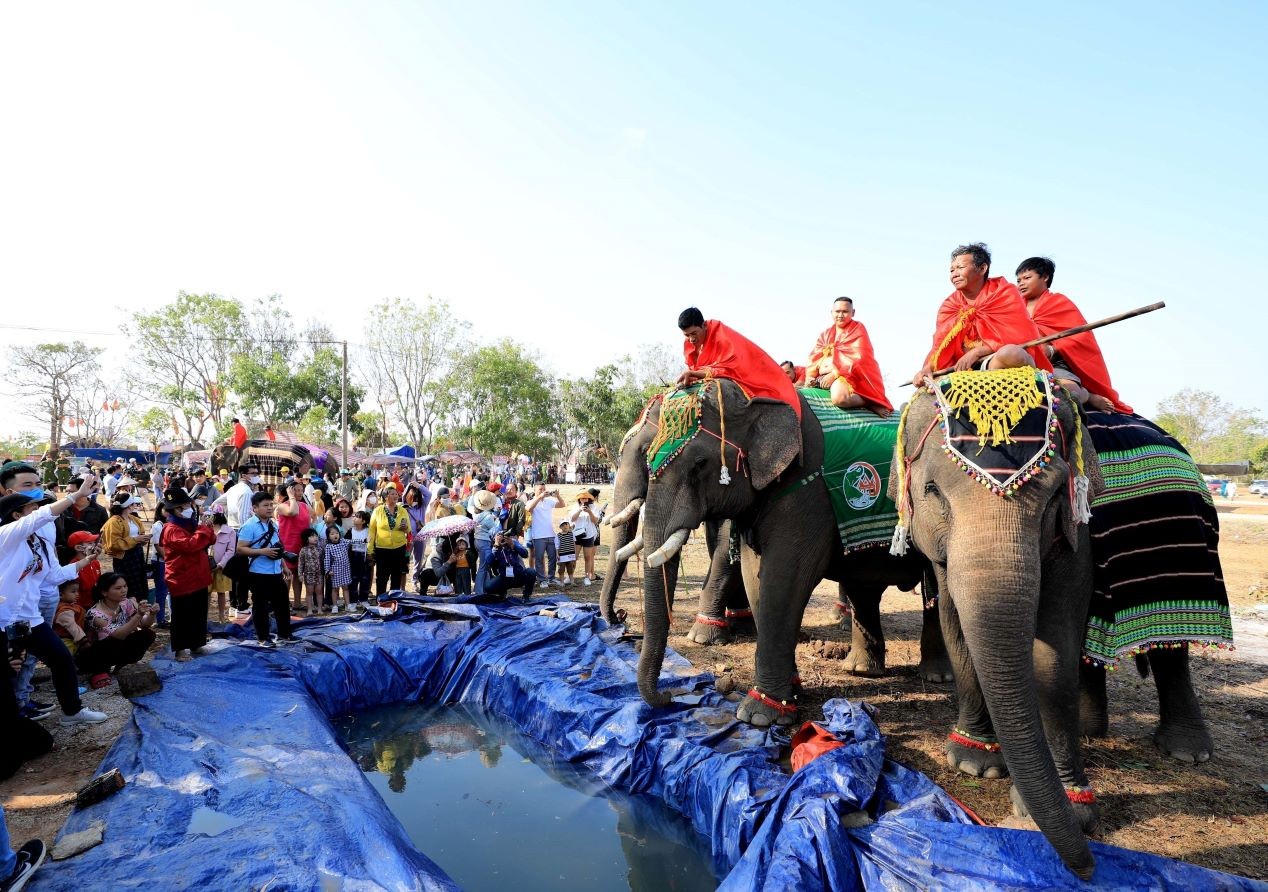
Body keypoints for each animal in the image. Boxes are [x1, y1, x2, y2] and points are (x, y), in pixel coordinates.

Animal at [631, 378, 943, 730]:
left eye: (700, 464)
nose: (668, 696)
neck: (759, 401)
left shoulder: (807, 493)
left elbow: (784, 578)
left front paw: (758, 716)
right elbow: (754, 577)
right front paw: (790, 695)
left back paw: (935, 677)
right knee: (865, 588)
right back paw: (861, 670)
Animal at [887, 370, 1105, 878]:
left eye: (1054, 498)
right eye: (933, 491)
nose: (1088, 870)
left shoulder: (1076, 537)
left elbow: (1056, 648)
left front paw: (1075, 809)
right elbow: (956, 621)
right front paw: (974, 764)